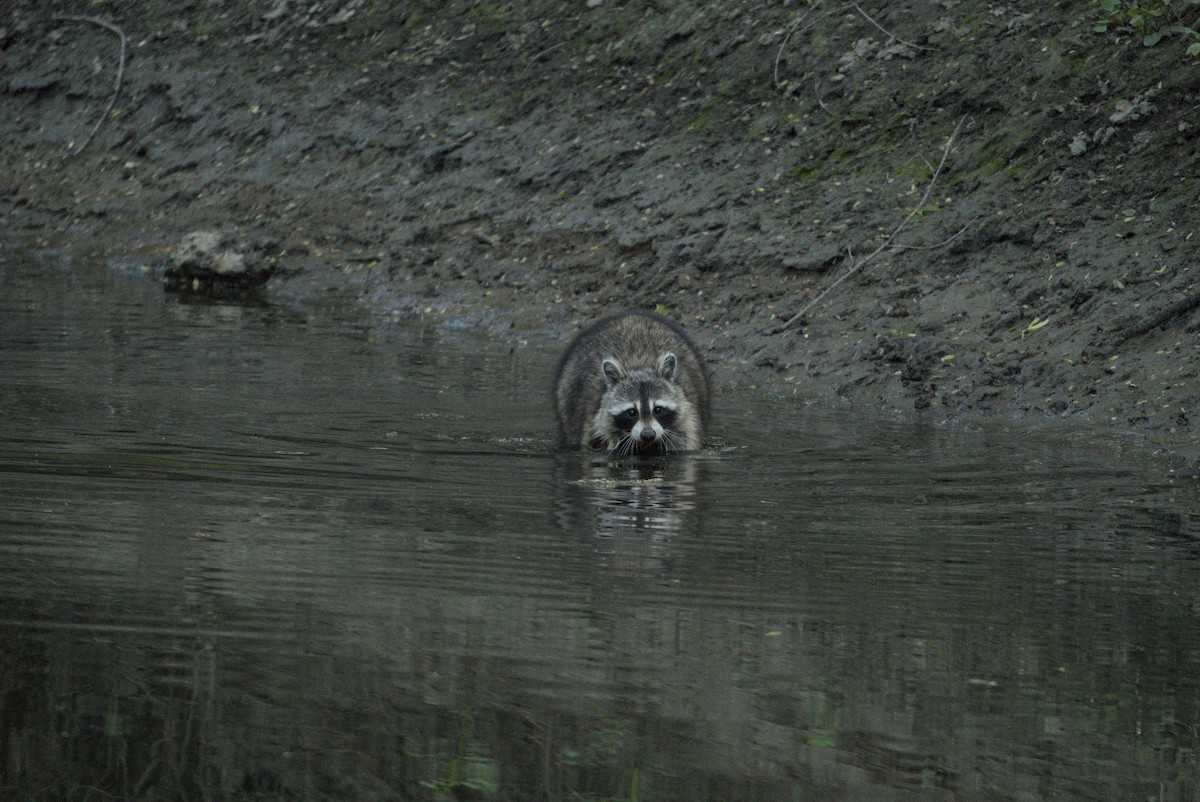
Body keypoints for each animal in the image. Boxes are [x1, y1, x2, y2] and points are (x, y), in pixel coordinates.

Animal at [553, 310, 711, 455]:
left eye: (658, 409)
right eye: (631, 412)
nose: (648, 435)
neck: (638, 365)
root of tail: (630, 315)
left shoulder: (687, 420)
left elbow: (685, 439)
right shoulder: (592, 419)